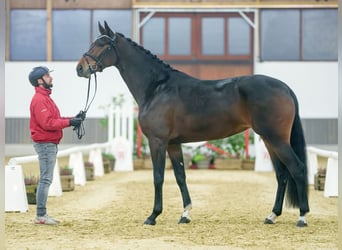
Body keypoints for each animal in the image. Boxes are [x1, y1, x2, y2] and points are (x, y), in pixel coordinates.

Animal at [77, 22, 310, 228]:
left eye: (102, 45)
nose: (80, 68)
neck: (157, 87)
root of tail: (285, 88)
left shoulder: (157, 141)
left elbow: (158, 177)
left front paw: (153, 216)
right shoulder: (173, 144)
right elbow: (180, 176)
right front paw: (185, 214)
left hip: (276, 139)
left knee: (297, 169)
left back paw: (302, 217)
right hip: (270, 140)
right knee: (282, 175)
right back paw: (272, 216)